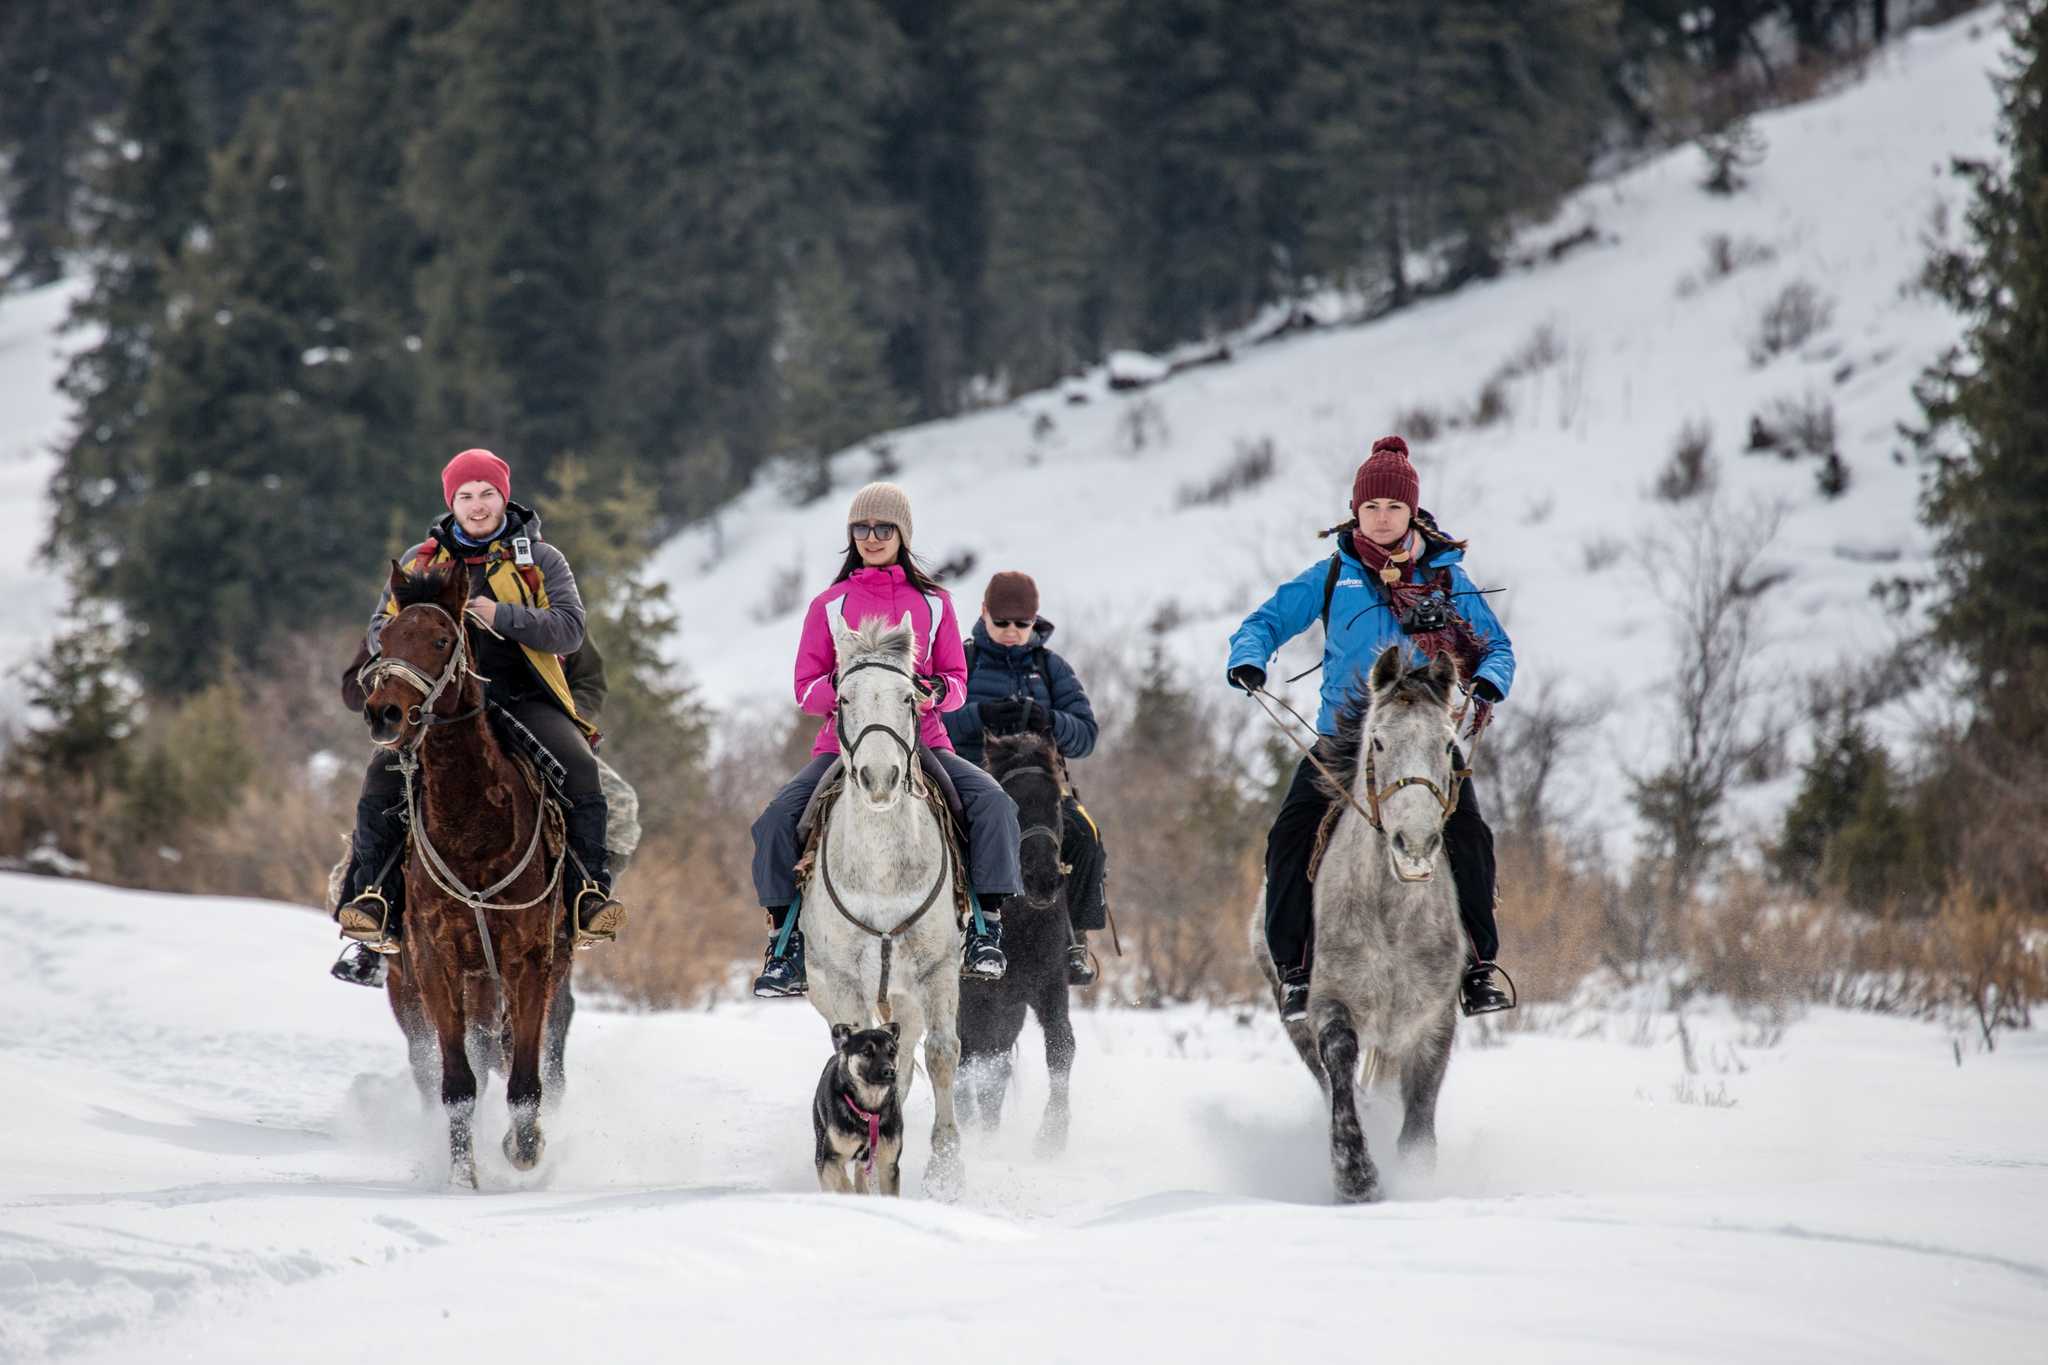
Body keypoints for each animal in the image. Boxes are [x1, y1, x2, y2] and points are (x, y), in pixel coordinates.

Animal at [360, 560, 577, 1186]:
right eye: (384, 638)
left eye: (440, 640)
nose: (383, 714)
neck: (472, 828)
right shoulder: (434, 960)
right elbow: (457, 1082)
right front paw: (463, 1174)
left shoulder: (531, 960)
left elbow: (524, 1077)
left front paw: (523, 1149)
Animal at [815, 1023, 905, 1195]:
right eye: (867, 1052)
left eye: (891, 1052)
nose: (889, 1071)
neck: (869, 1111)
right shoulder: (830, 1158)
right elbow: (842, 1182)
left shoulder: (888, 1164)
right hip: (821, 1143)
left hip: (865, 1159)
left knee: (860, 1174)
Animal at [958, 732, 1081, 1162]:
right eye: (1009, 802)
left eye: (1057, 801)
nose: (1042, 879)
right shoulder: (974, 1000)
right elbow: (979, 1067)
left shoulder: (1048, 987)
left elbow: (1061, 1047)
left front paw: (1052, 1136)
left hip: (1009, 1012)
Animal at [1245, 646, 1474, 1203]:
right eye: (1379, 741)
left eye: (1449, 745)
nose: (1415, 846)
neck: (1392, 917)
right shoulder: (1331, 1003)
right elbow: (1342, 1065)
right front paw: (1356, 1177)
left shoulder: (1433, 1022)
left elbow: (1419, 1124)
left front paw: (1413, 1181)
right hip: (1294, 1016)